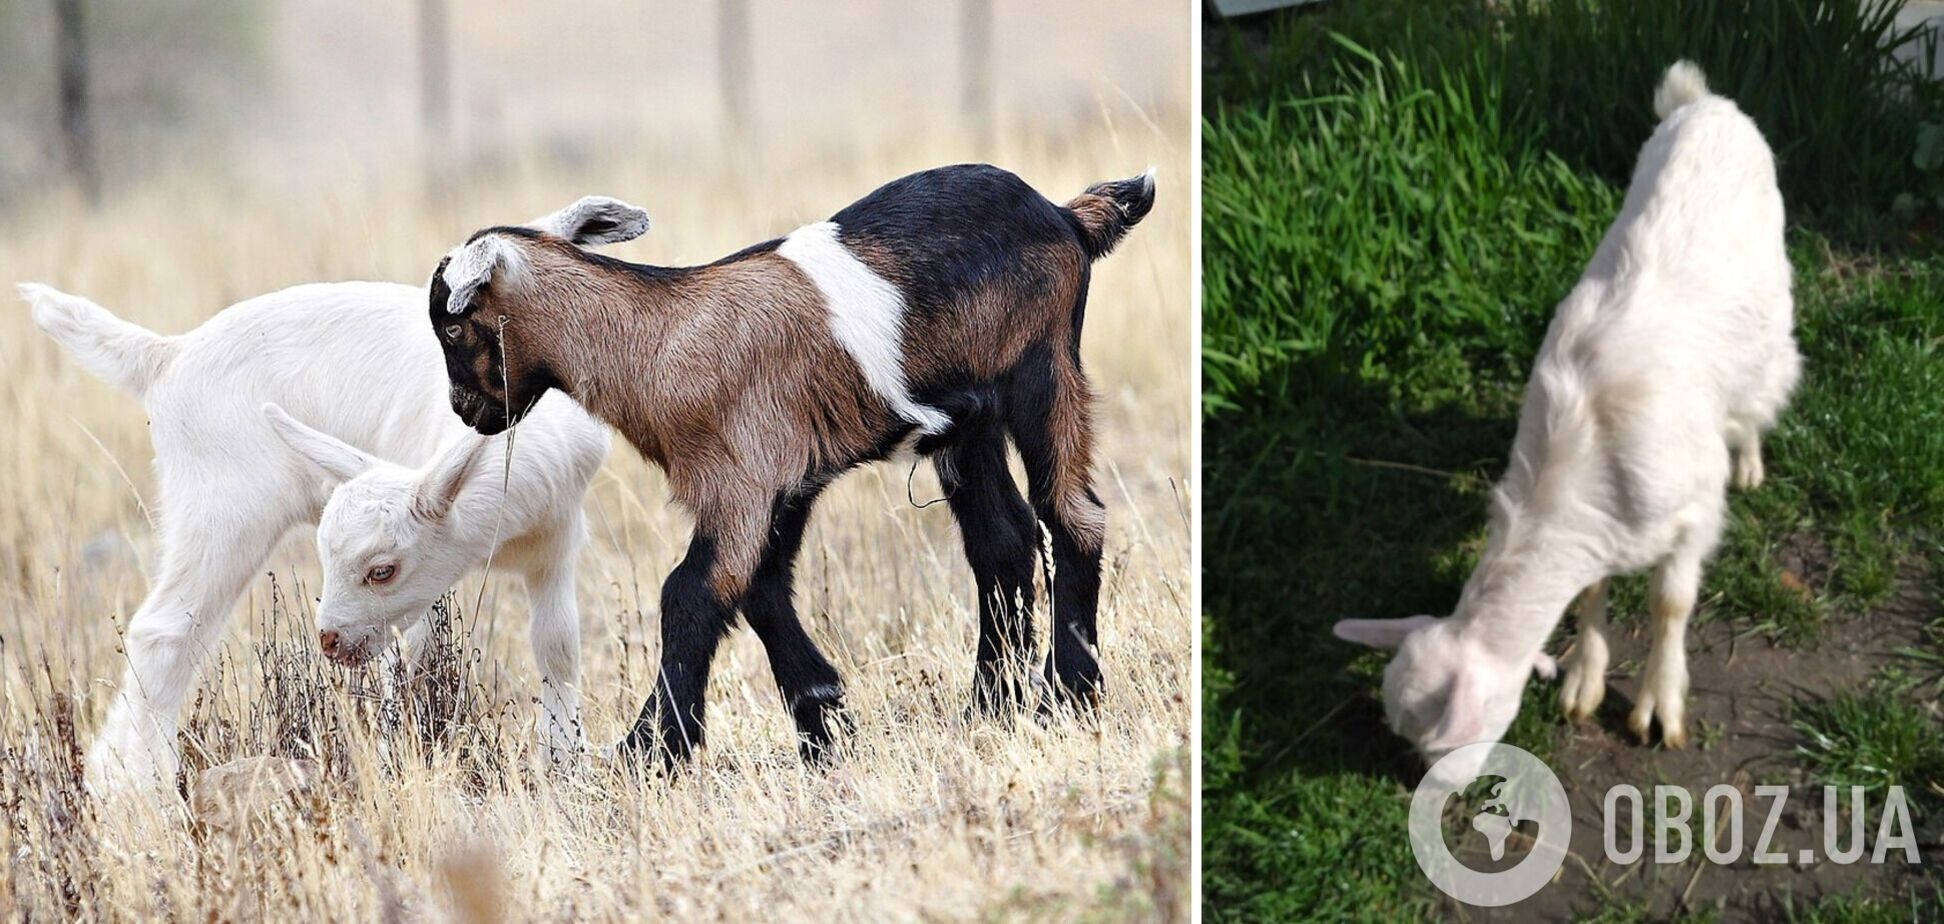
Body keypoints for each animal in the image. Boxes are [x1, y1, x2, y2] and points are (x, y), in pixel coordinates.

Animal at [20, 199, 637, 793]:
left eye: (381, 569)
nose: (329, 641)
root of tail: (166, 355)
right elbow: (412, 661)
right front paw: (401, 758)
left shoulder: (554, 544)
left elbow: (557, 648)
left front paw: (565, 762)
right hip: (221, 509)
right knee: (166, 631)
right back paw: (139, 788)